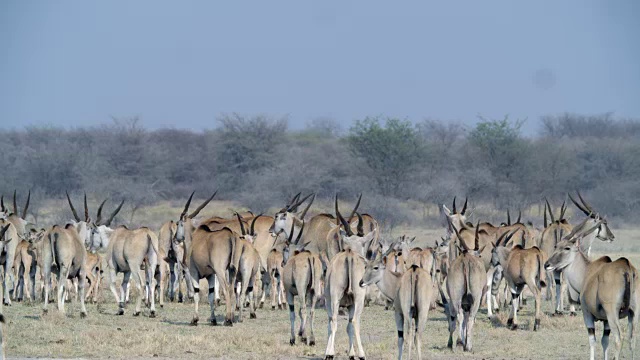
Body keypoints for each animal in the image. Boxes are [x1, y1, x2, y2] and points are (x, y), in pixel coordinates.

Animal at [322, 197, 372, 360]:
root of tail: (349, 255)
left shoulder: (336, 302)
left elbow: (338, 324)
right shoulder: (348, 304)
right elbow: (347, 325)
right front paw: (352, 354)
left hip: (337, 299)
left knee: (336, 321)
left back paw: (330, 354)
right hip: (357, 299)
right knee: (354, 321)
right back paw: (361, 354)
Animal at [444, 219, 484, 352]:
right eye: (479, 255)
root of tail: (465, 260)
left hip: (458, 300)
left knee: (460, 317)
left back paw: (459, 343)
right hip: (475, 300)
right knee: (469, 318)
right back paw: (467, 346)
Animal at [544, 219, 636, 360]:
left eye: (567, 248)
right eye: (556, 246)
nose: (547, 265)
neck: (587, 272)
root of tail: (626, 268)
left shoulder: (587, 314)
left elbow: (592, 340)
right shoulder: (606, 321)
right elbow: (604, 341)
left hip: (612, 313)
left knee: (618, 339)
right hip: (633, 314)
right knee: (632, 340)